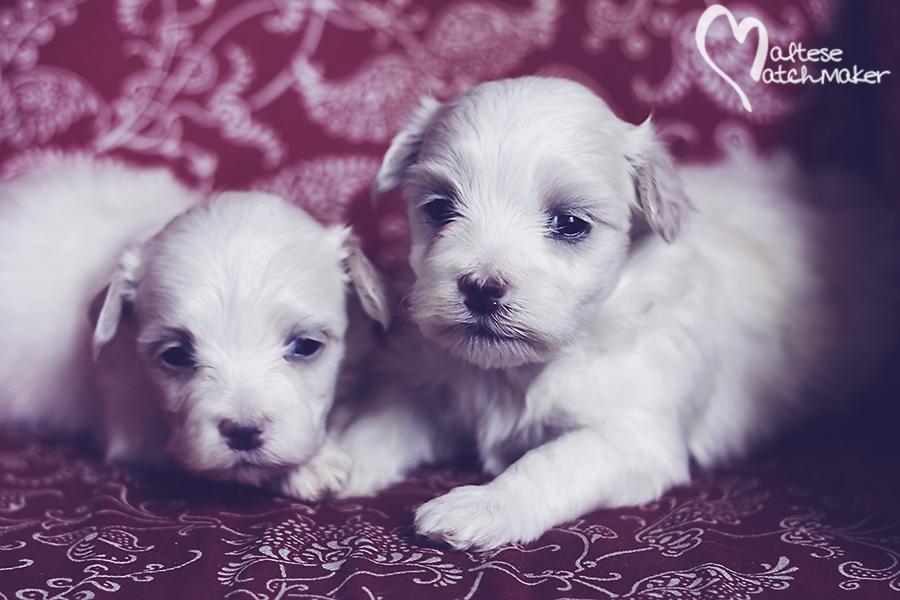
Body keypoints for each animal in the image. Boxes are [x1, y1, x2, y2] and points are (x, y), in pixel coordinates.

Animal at [336, 77, 892, 552]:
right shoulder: (430, 384)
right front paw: (337, 460)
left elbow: (551, 461)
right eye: (439, 209)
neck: (519, 373)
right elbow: (384, 420)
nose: (480, 288)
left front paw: (482, 505)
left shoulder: (634, 434)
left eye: (569, 223)